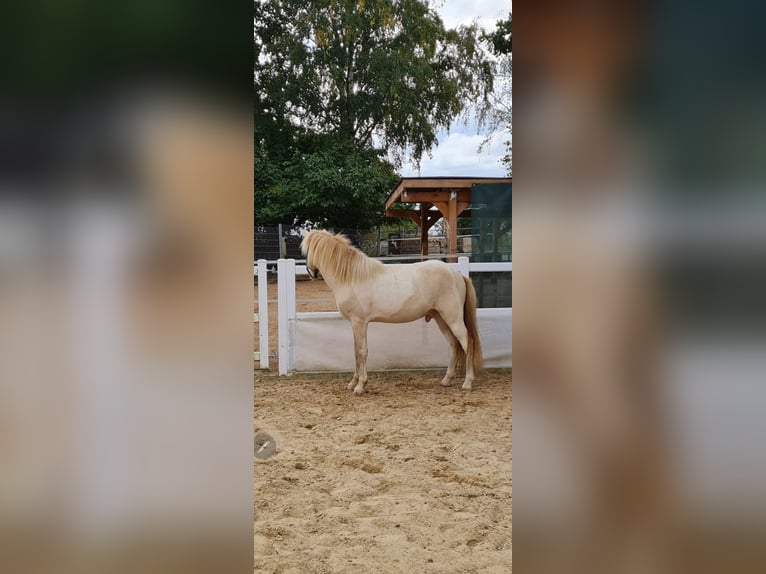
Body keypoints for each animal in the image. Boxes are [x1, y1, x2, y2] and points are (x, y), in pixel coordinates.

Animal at [302, 230, 486, 396]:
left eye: (308, 249)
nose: (311, 272)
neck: (351, 277)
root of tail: (458, 275)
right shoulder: (355, 324)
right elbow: (355, 351)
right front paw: (352, 383)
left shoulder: (359, 322)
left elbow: (362, 351)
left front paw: (360, 386)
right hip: (440, 318)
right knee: (454, 344)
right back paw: (446, 380)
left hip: (453, 318)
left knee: (467, 342)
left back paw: (467, 382)